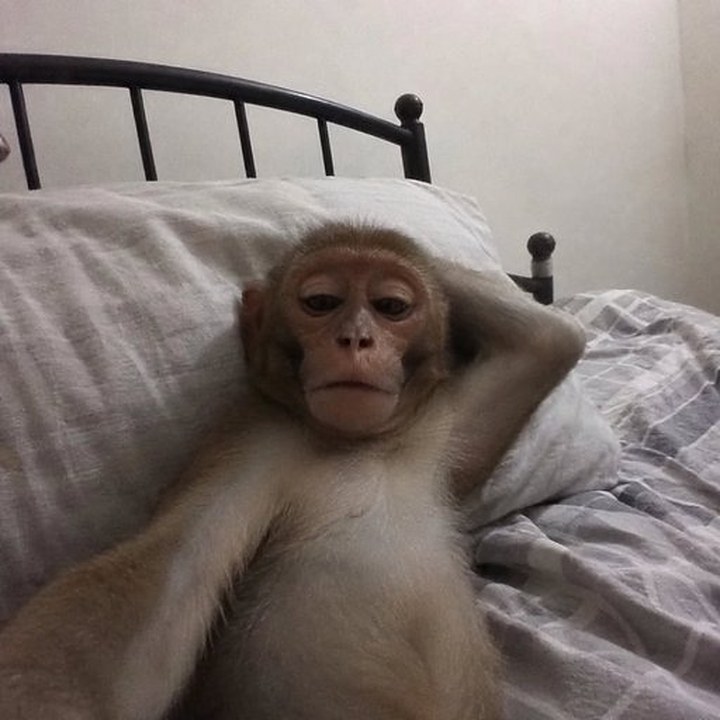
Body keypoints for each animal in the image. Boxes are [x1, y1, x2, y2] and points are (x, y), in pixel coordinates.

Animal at [0, 223, 585, 720]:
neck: (351, 443)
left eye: (391, 307)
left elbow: (551, 338)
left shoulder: (436, 430)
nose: (356, 339)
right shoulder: (251, 444)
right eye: (321, 302)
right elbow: (165, 584)